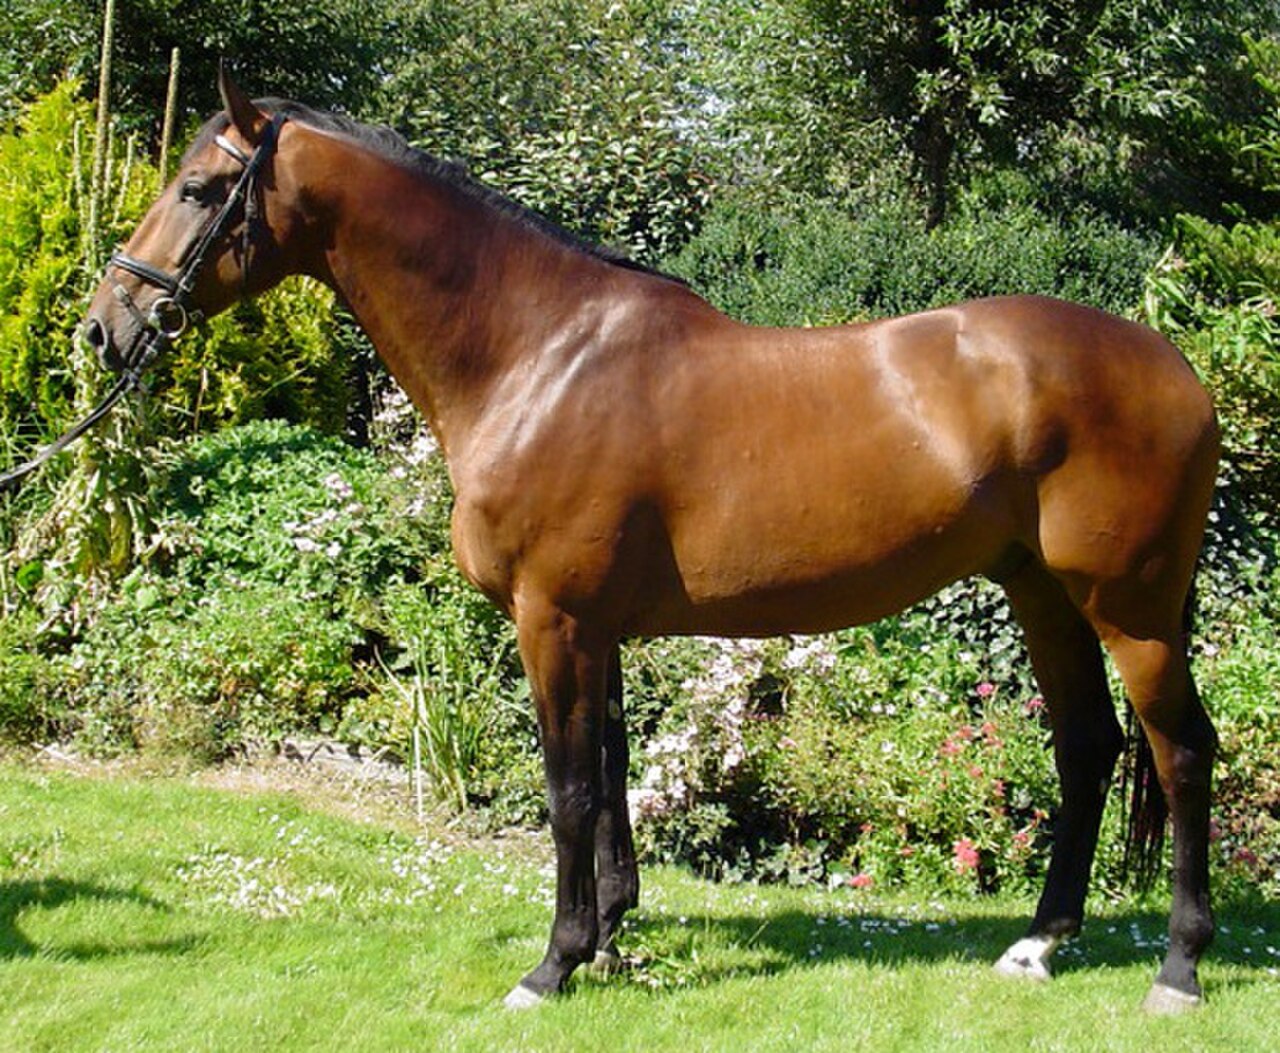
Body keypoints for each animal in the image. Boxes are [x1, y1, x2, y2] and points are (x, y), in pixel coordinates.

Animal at [85, 70, 1221, 1014]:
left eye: (198, 190)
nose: (105, 326)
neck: (539, 354)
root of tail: (1177, 369)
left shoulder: (553, 618)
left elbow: (567, 789)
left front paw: (551, 965)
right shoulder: (599, 627)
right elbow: (611, 777)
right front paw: (609, 936)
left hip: (1130, 608)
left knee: (1179, 752)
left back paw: (1176, 968)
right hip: (1041, 592)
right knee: (1087, 746)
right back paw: (1038, 944)